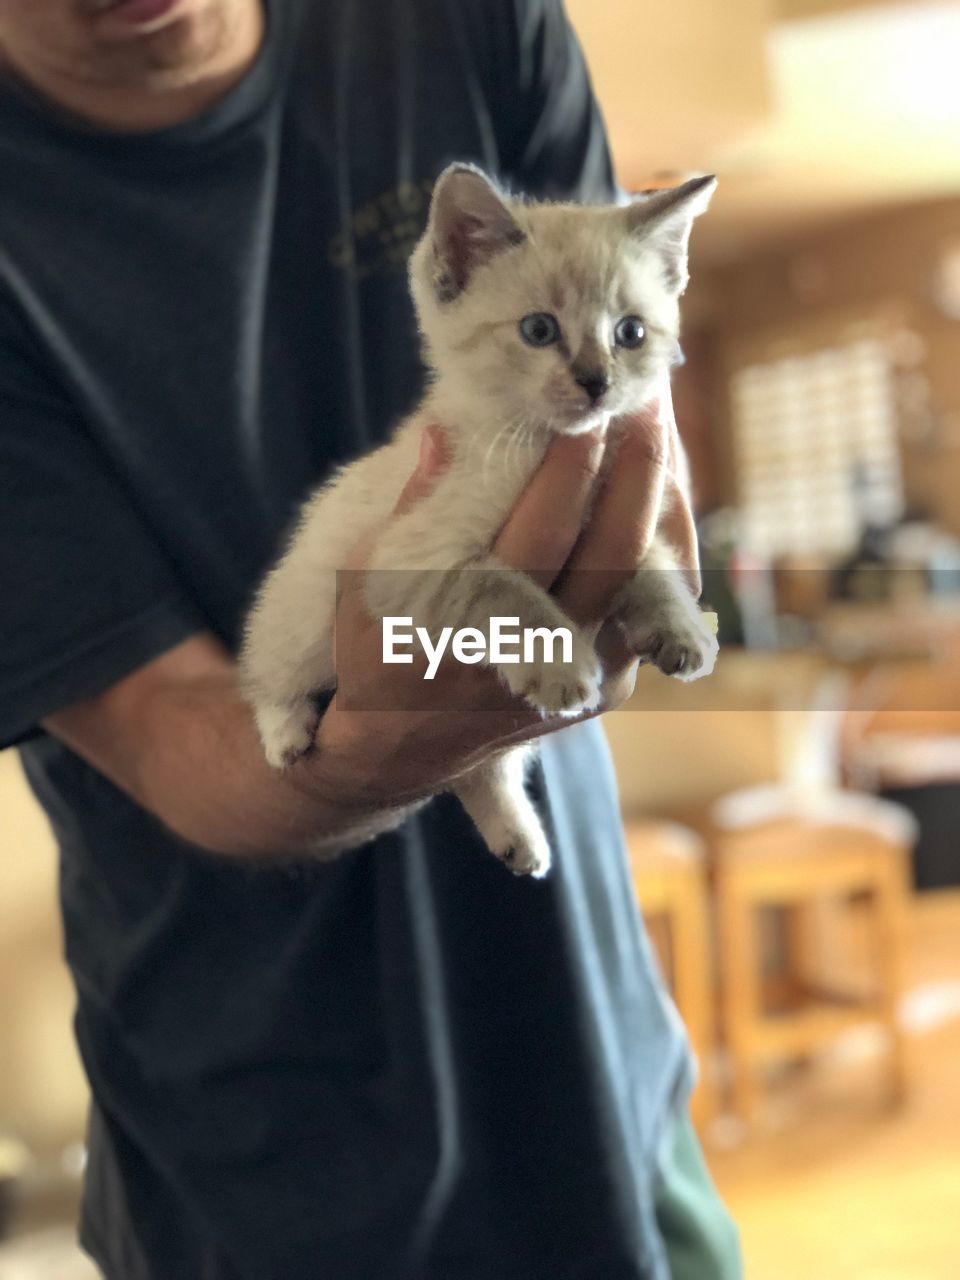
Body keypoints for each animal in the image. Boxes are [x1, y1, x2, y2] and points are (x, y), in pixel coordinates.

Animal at [244, 162, 716, 880]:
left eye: (630, 333)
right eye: (539, 331)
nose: (596, 381)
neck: (536, 443)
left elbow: (651, 561)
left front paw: (679, 625)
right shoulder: (406, 560)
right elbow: (500, 588)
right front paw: (560, 664)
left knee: (480, 769)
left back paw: (518, 838)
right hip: (299, 619)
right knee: (267, 671)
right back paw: (285, 731)